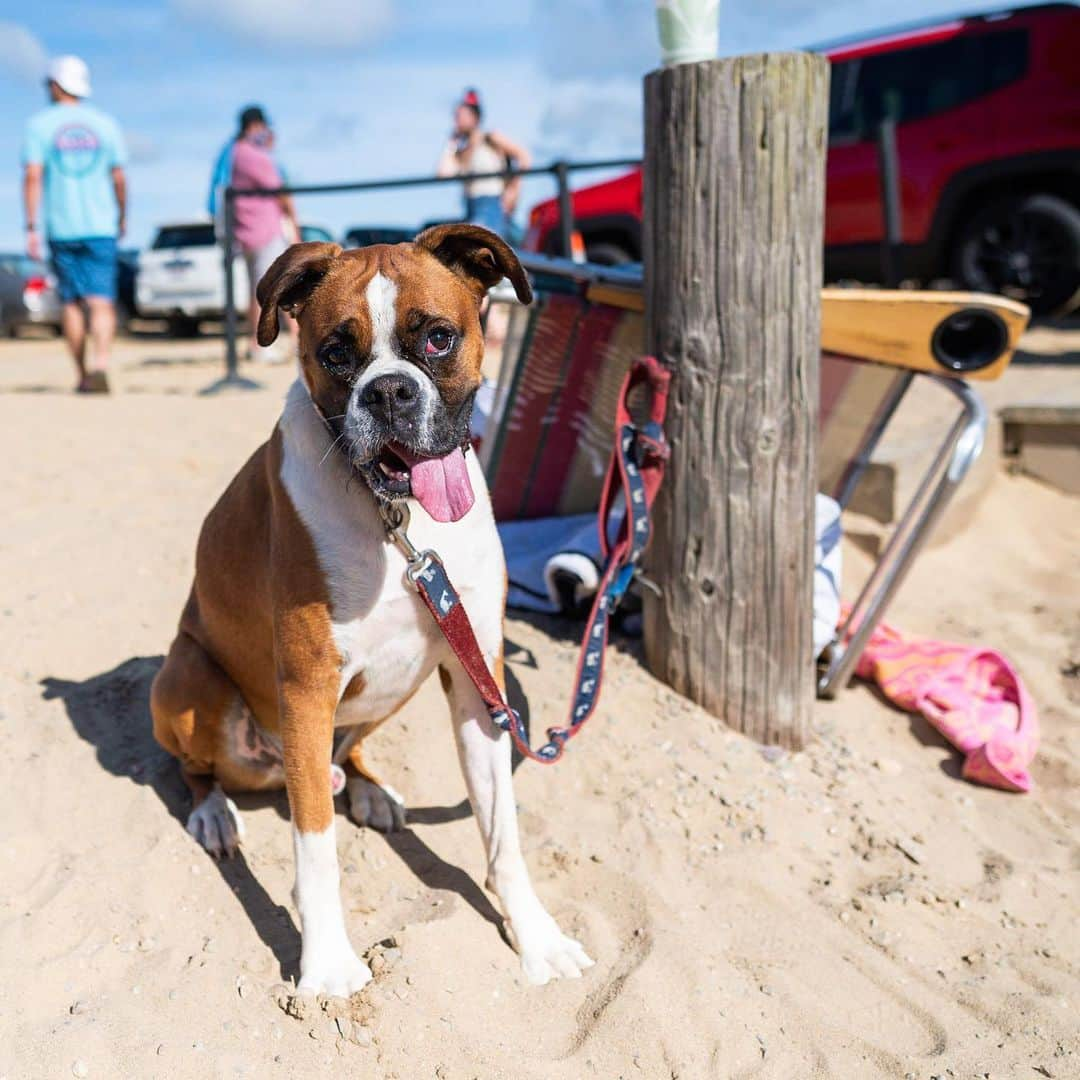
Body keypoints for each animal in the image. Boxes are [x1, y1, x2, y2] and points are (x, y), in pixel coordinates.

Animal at [149, 225, 596, 993]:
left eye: (439, 338)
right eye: (336, 351)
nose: (389, 390)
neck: (399, 521)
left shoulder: (477, 682)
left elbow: (503, 833)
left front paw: (536, 937)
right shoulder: (307, 689)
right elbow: (315, 848)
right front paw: (327, 964)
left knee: (347, 754)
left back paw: (367, 787)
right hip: (186, 679)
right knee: (200, 768)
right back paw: (213, 814)